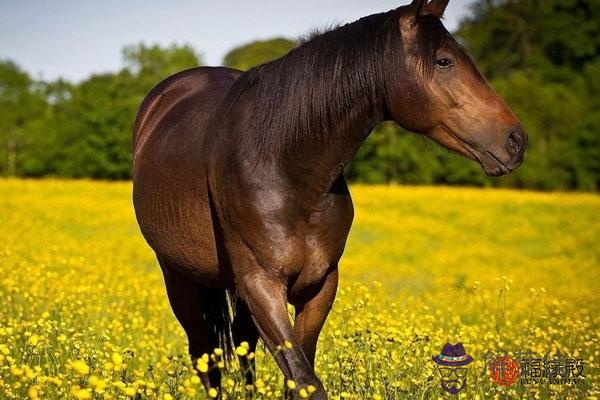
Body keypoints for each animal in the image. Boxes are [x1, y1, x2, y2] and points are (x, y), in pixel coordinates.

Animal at [131, 1, 524, 398]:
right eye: (444, 61)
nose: (516, 140)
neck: (287, 167)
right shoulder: (261, 284)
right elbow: (305, 379)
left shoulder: (320, 285)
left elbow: (297, 375)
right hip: (178, 274)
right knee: (204, 354)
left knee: (242, 347)